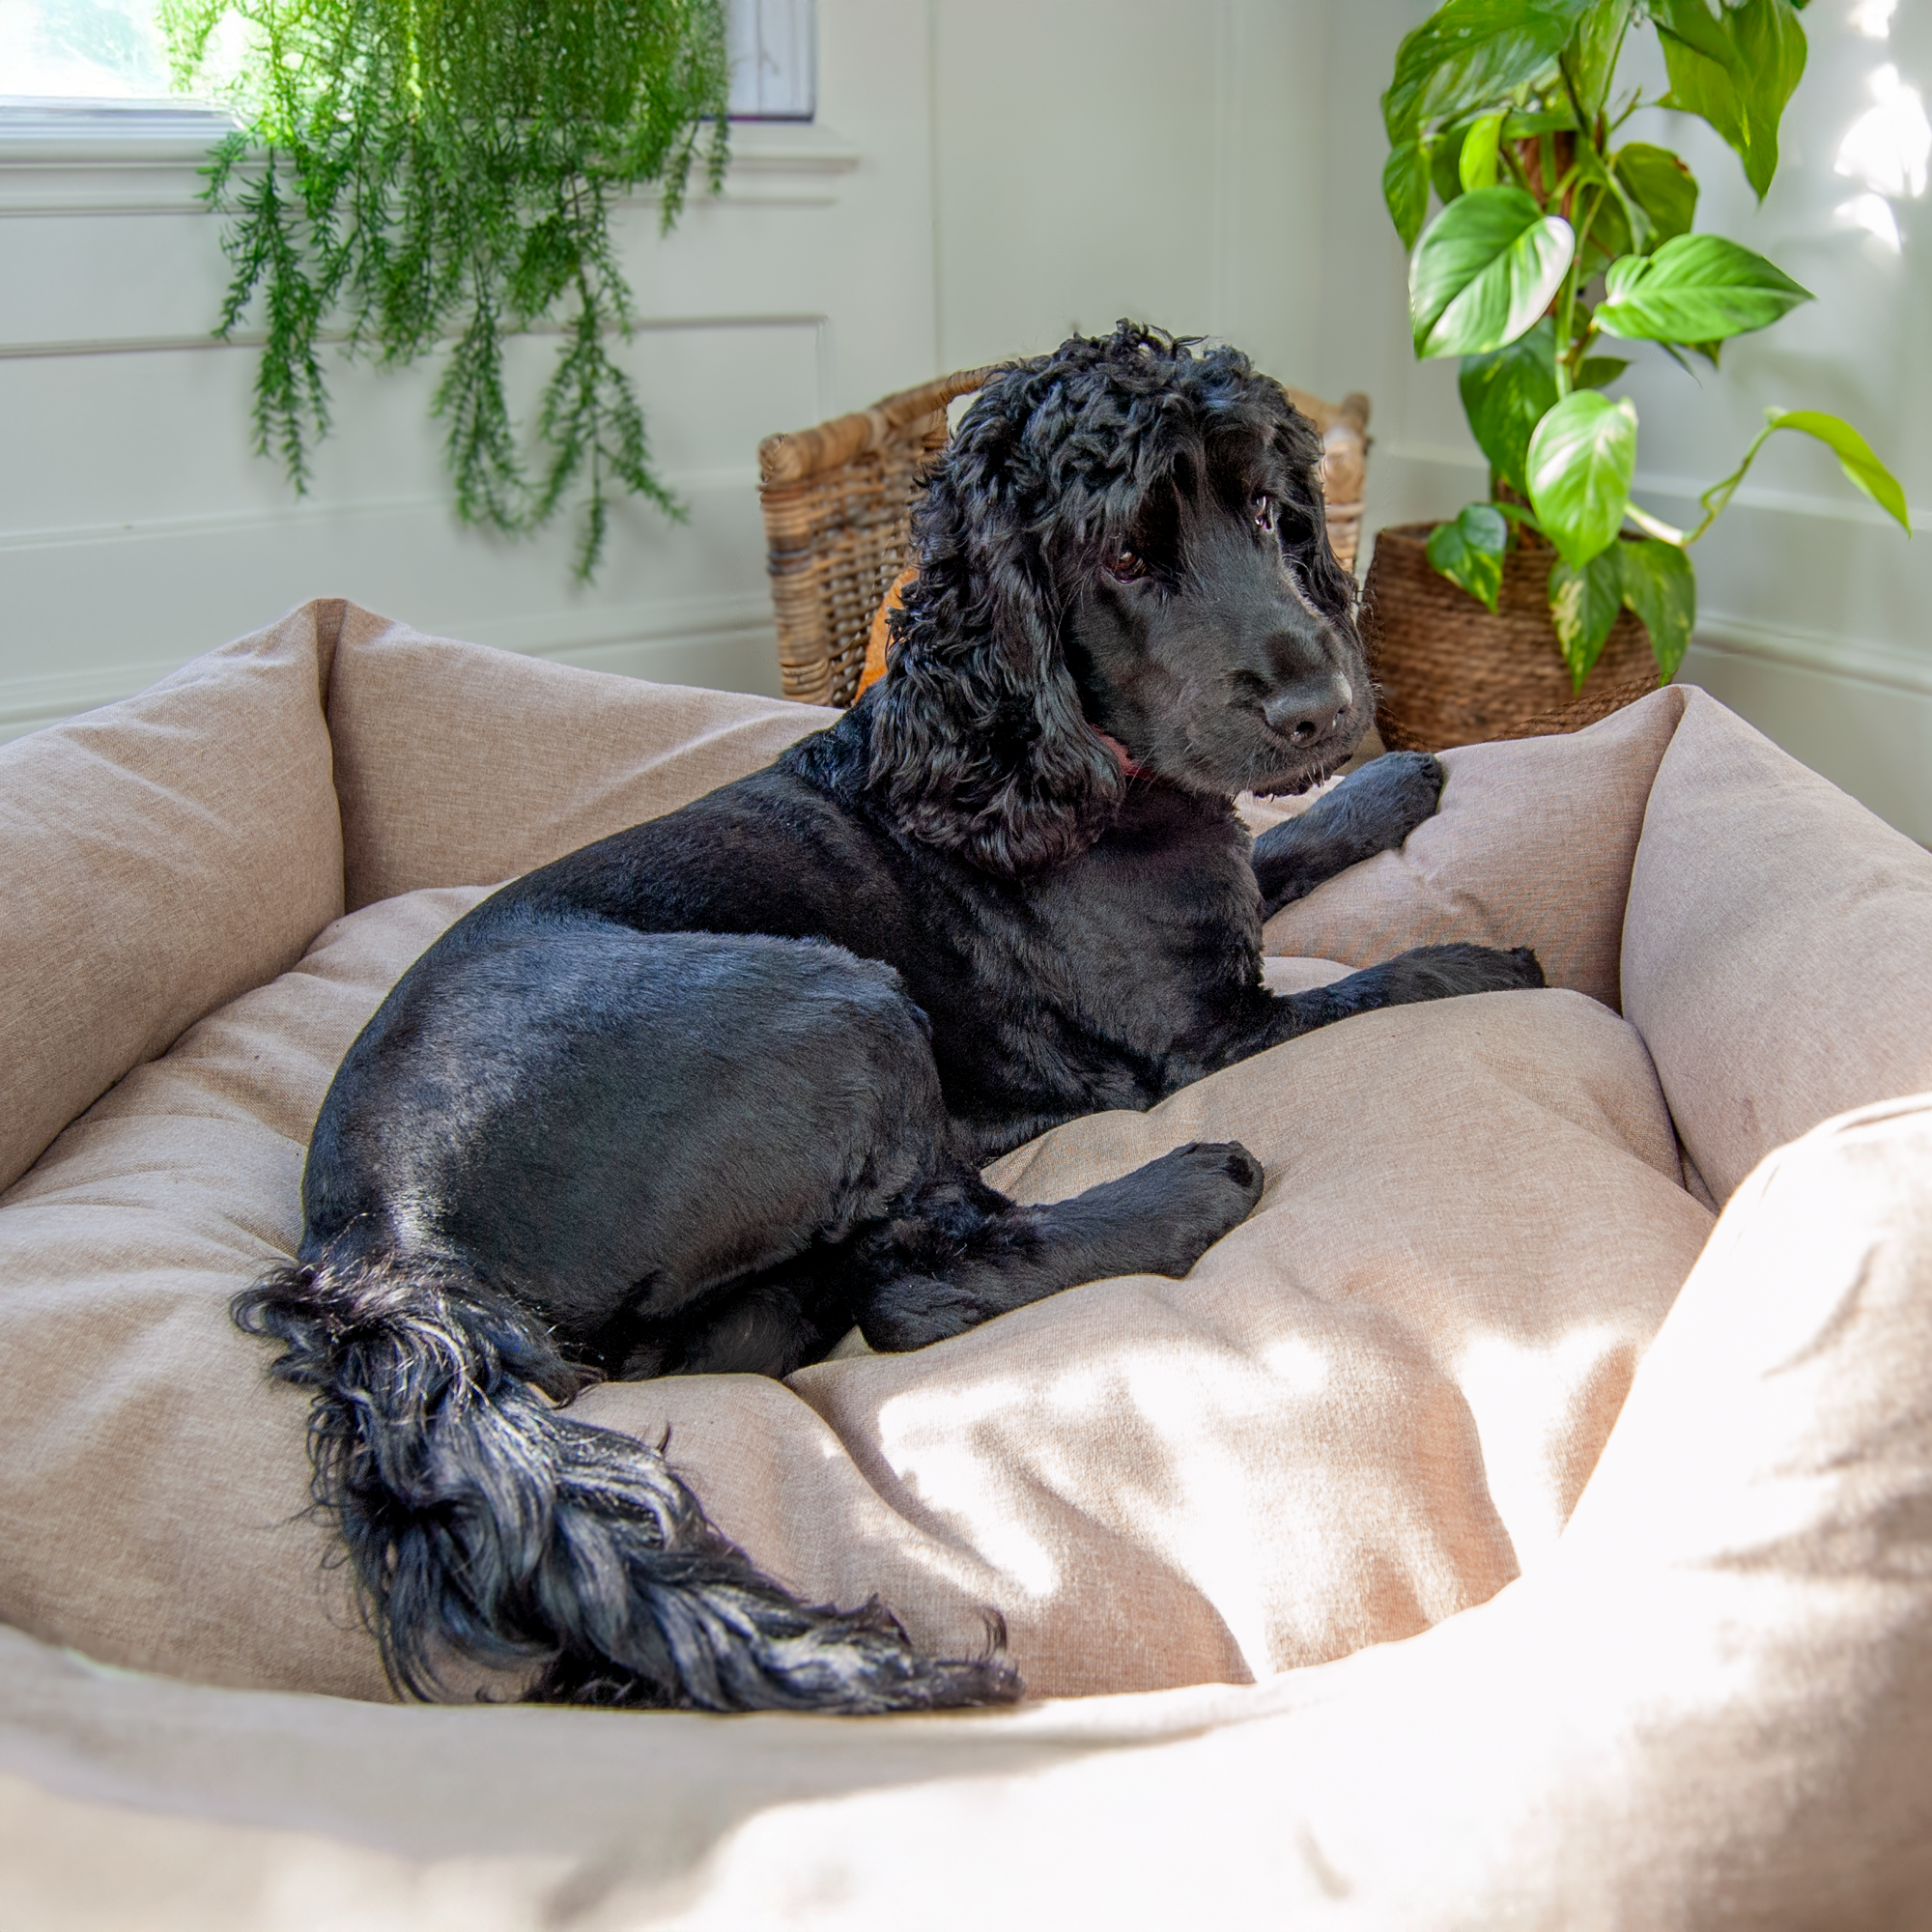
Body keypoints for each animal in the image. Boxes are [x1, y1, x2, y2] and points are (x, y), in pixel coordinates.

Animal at [242, 321, 1538, 1723]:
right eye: (1122, 558)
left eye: (1265, 510)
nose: (1323, 709)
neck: (1016, 753)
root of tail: (369, 1241)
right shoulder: (1201, 1034)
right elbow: (1378, 980)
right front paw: (1484, 958)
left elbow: (1282, 848)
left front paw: (1394, 778)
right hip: (842, 1005)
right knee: (924, 1281)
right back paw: (1187, 1189)